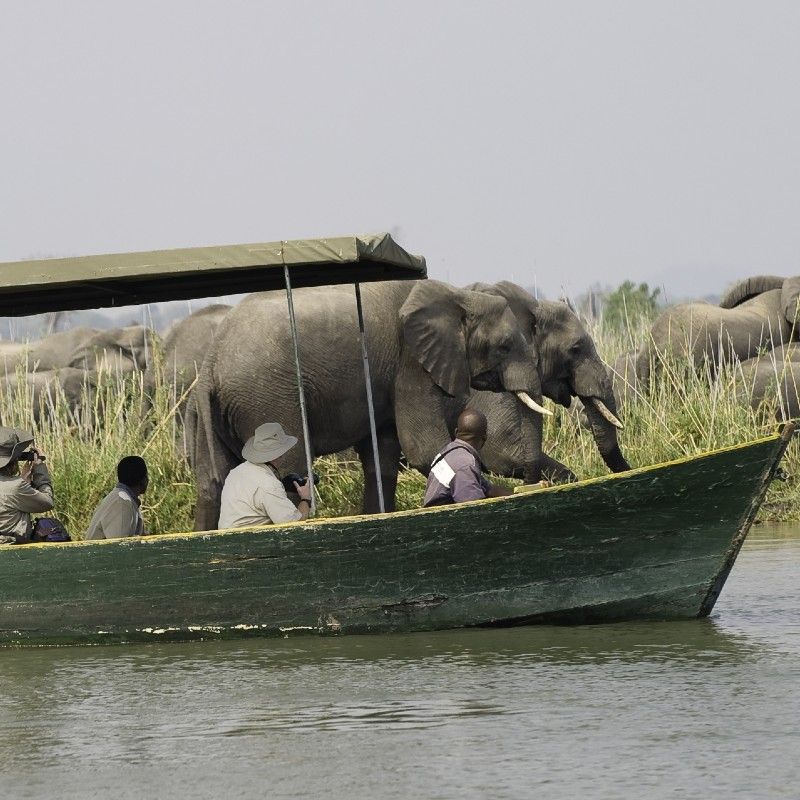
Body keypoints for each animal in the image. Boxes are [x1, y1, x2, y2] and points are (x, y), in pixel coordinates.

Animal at [186, 280, 549, 530]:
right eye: (504, 346)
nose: (534, 484)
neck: (457, 294)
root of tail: (210, 365)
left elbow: (383, 454)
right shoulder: (410, 362)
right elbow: (423, 448)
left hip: (216, 413)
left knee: (211, 483)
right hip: (268, 399)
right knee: (288, 468)